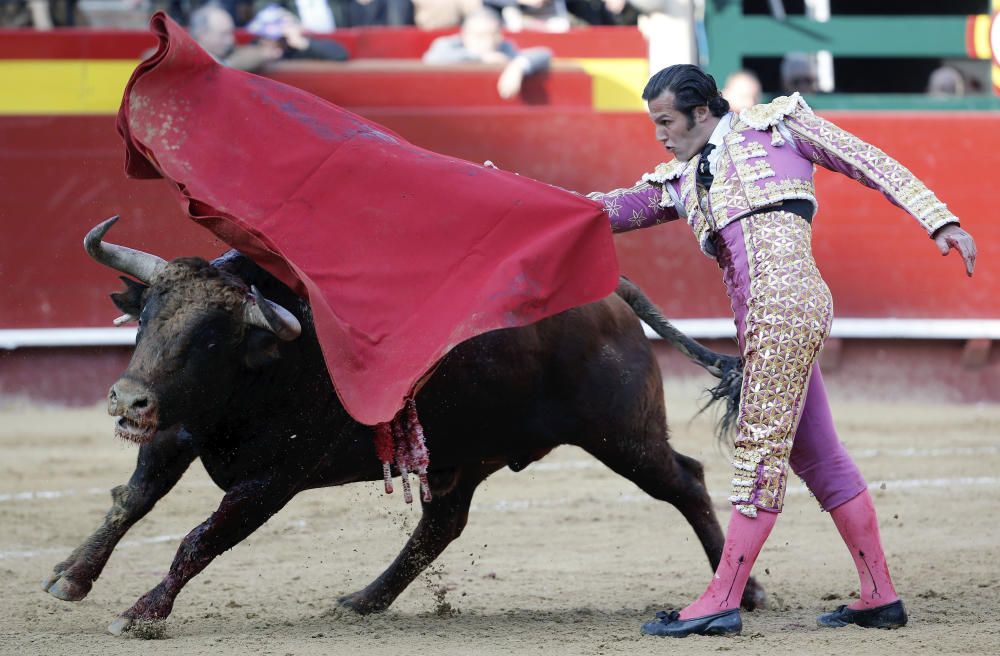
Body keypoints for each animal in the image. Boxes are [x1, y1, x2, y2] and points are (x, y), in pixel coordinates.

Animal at [43, 218, 760, 632]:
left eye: (212, 337)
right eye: (146, 315)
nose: (128, 400)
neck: (265, 366)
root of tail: (611, 295)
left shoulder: (272, 481)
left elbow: (201, 536)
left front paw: (143, 612)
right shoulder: (174, 434)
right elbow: (131, 500)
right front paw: (70, 576)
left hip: (622, 435)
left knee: (687, 482)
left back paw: (741, 593)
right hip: (467, 454)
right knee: (442, 525)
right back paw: (365, 600)